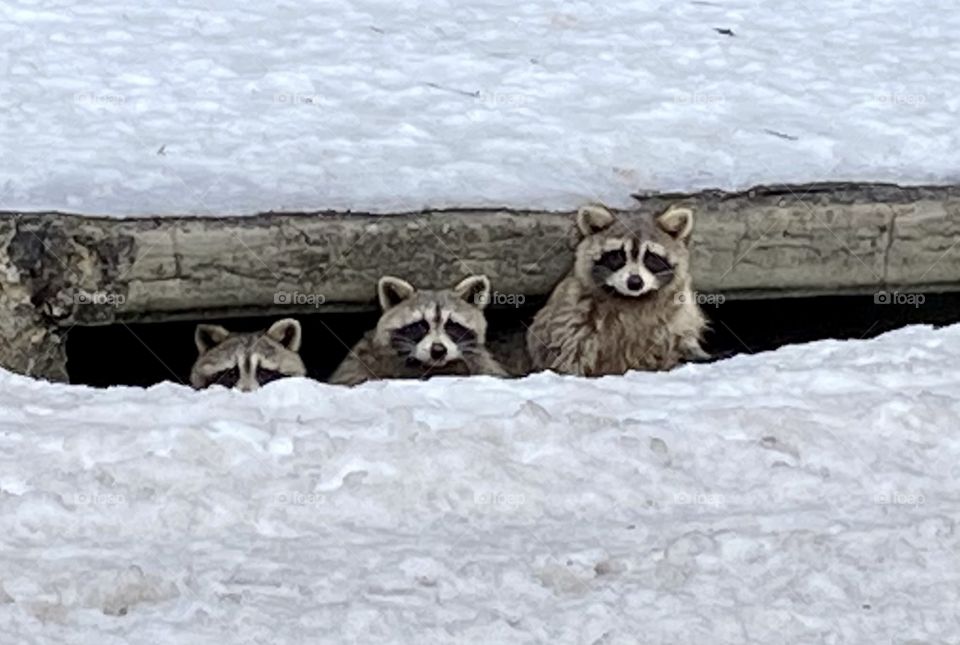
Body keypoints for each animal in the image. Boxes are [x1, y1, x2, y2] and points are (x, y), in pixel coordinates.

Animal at [528, 203, 708, 378]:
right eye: (618, 255)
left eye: (650, 257)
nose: (635, 282)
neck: (631, 298)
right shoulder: (572, 317)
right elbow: (569, 354)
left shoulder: (677, 319)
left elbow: (680, 338)